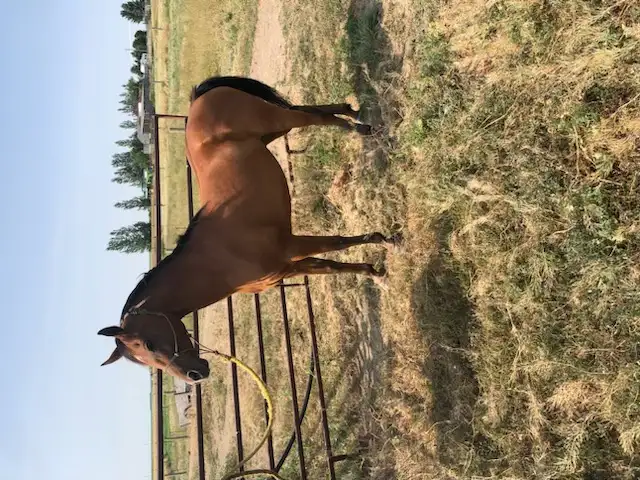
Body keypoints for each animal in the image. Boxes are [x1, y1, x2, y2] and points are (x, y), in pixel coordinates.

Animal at [98, 76, 399, 383]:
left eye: (148, 344)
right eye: (145, 360)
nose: (195, 375)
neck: (217, 260)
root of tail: (197, 101)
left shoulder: (292, 246)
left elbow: (339, 243)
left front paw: (386, 243)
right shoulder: (288, 267)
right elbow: (330, 266)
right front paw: (375, 271)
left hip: (277, 120)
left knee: (316, 118)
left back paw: (360, 127)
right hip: (275, 130)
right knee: (311, 111)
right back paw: (354, 113)